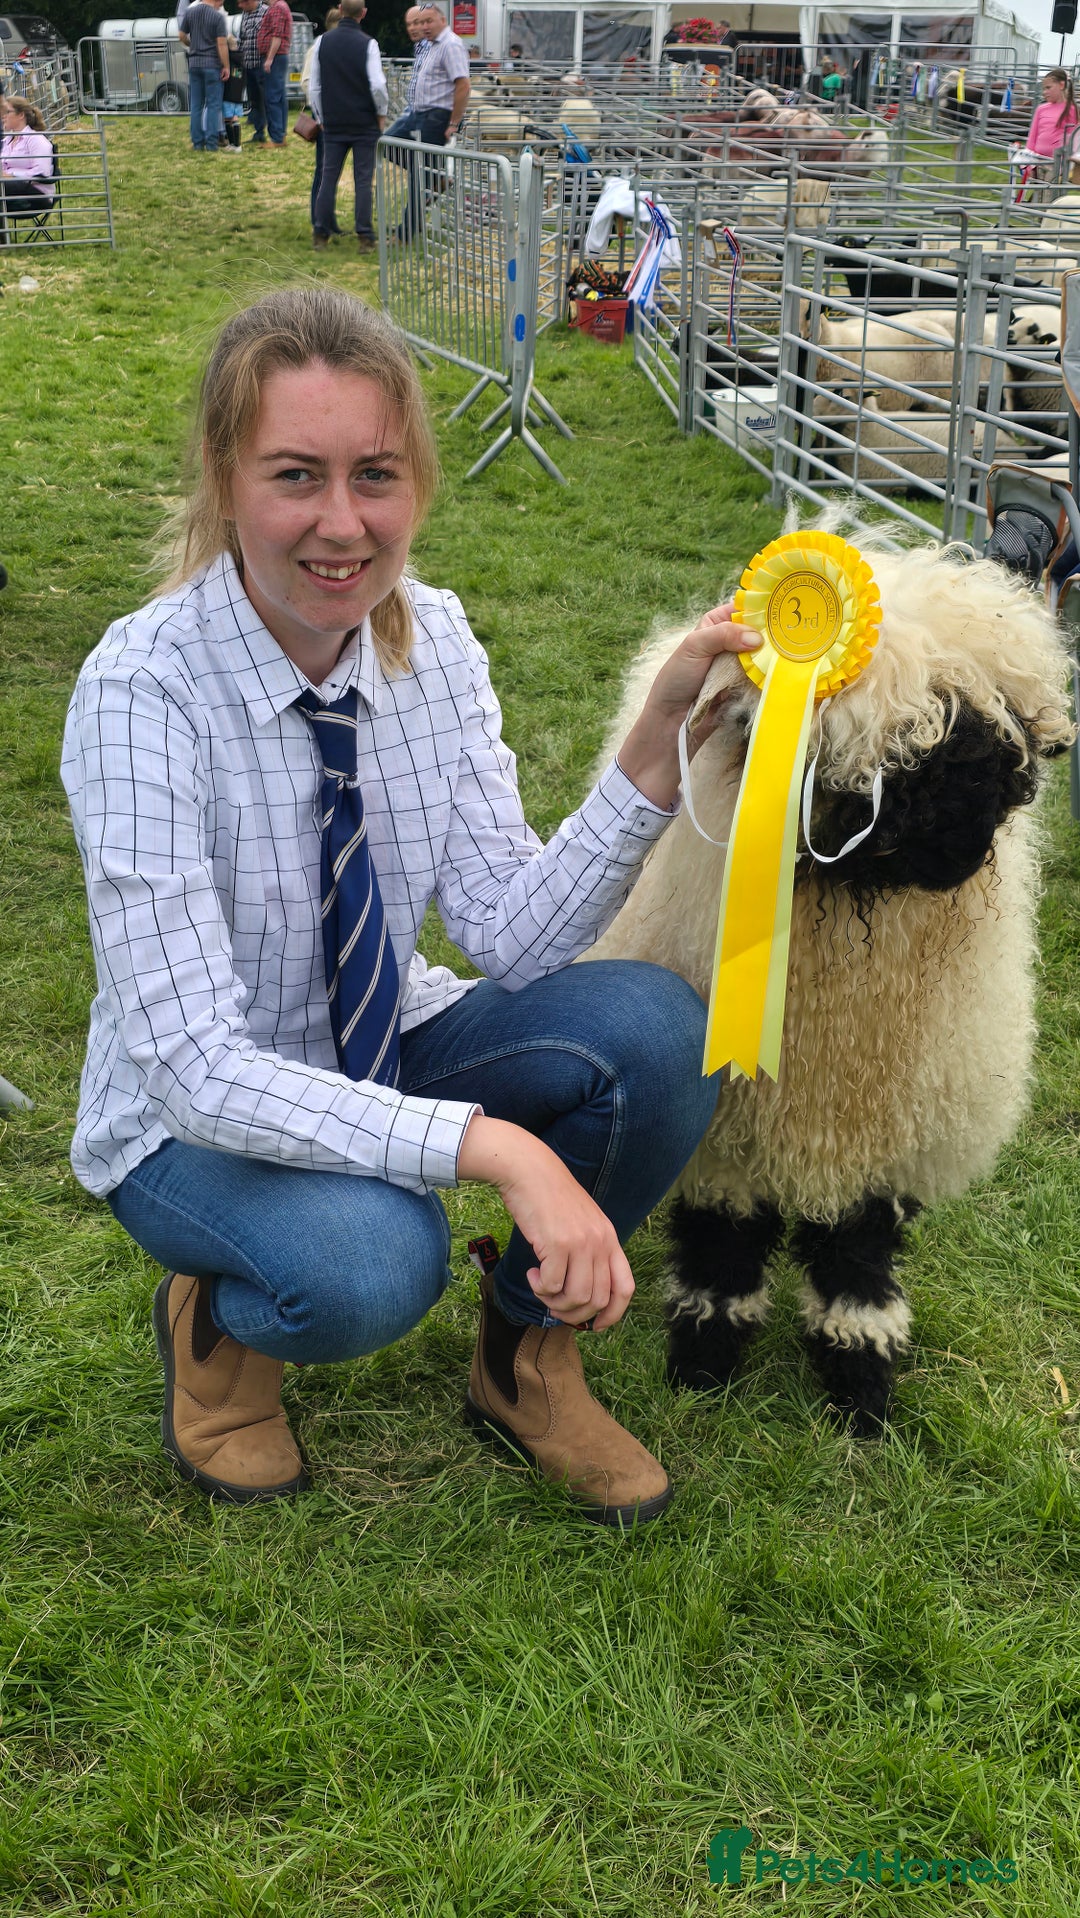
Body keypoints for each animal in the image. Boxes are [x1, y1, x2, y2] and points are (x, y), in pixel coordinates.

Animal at [587, 529, 1073, 1432]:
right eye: (878, 779)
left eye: (996, 752)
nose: (961, 857)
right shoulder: (727, 1126)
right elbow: (723, 1245)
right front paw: (704, 1362)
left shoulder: (887, 1123)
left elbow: (857, 1254)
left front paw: (861, 1387)